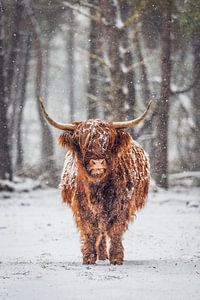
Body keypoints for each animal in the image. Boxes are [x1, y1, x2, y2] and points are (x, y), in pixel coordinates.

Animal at [39, 97, 151, 264]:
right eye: (83, 142)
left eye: (108, 142)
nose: (97, 162)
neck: (97, 188)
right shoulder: (81, 205)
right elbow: (90, 230)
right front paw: (89, 257)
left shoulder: (122, 204)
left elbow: (116, 229)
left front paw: (116, 257)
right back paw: (101, 255)